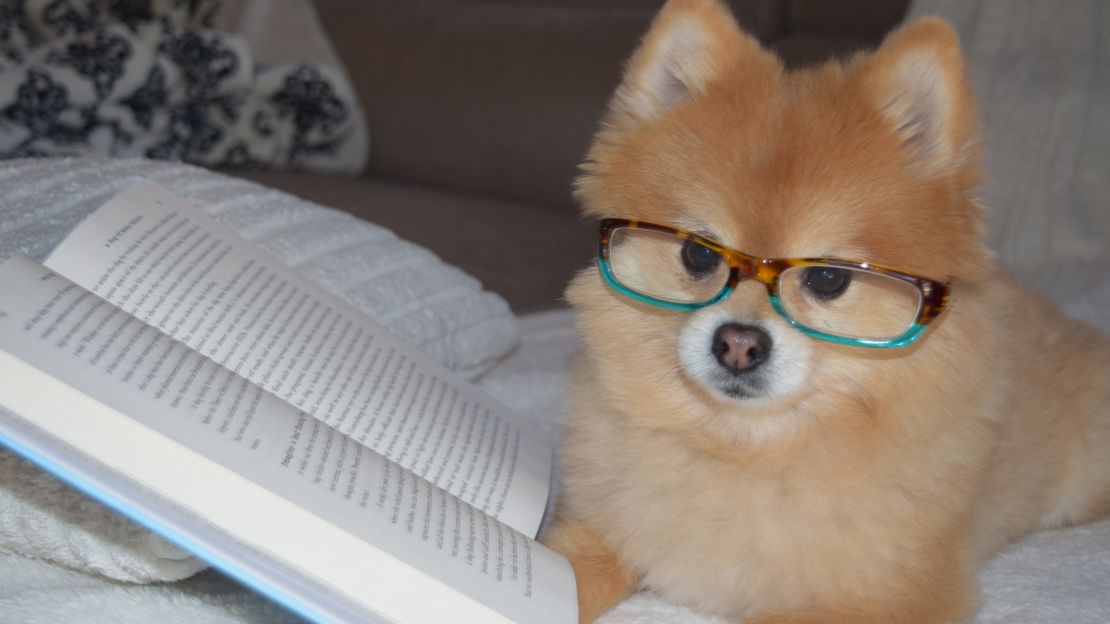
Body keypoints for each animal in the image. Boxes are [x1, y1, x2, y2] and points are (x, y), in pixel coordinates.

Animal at [546, 1, 1110, 621]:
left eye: (827, 278)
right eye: (698, 254)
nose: (738, 343)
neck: (746, 446)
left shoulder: (885, 597)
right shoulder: (603, 525)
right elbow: (563, 567)